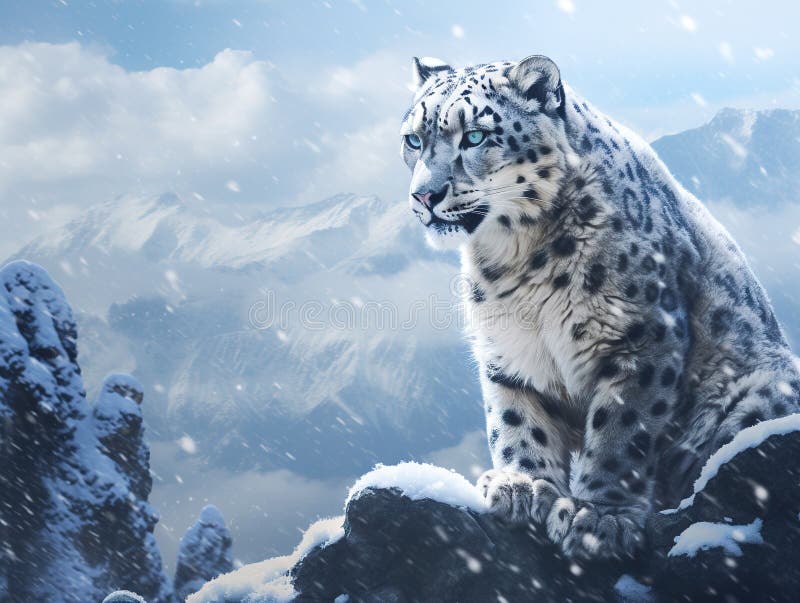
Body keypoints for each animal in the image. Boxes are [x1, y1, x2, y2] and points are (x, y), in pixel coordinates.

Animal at [399, 54, 800, 560]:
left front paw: (599, 517)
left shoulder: (643, 338)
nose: (424, 196)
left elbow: (621, 430)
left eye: (474, 136)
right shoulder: (505, 347)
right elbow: (513, 415)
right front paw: (521, 485)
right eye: (414, 139)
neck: (517, 259)